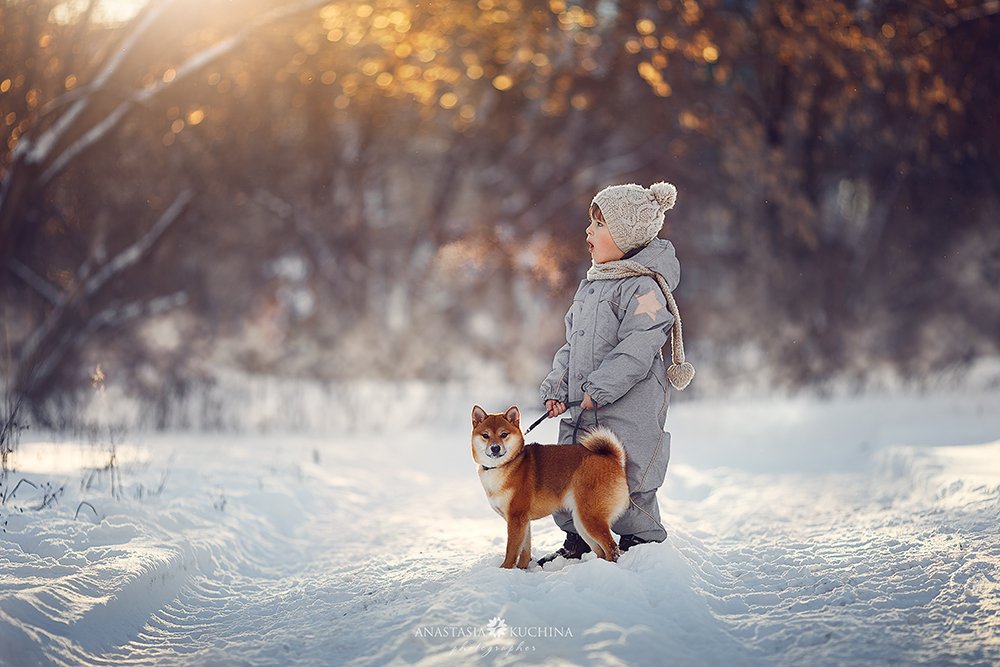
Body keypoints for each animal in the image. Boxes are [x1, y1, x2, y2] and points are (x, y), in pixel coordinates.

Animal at [468, 404, 624, 572]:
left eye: (504, 434)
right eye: (485, 435)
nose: (495, 448)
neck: (503, 466)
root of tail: (611, 457)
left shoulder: (516, 517)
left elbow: (512, 549)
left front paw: (505, 569)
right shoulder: (524, 520)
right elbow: (525, 549)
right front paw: (522, 568)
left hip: (589, 518)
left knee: (611, 548)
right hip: (581, 522)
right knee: (601, 550)